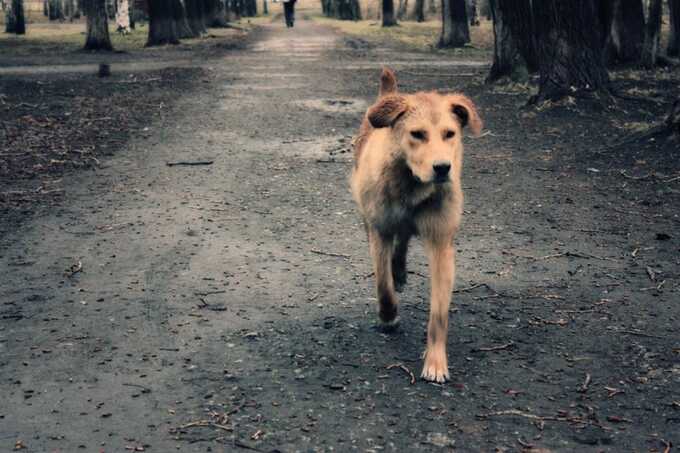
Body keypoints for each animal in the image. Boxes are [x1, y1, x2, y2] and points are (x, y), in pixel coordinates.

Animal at [350, 65, 484, 380]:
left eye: (449, 134)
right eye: (417, 134)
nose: (442, 168)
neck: (412, 187)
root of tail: (388, 96)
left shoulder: (441, 243)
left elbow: (438, 314)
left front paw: (435, 361)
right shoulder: (380, 230)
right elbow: (382, 284)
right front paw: (388, 315)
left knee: (405, 240)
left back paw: (400, 270)